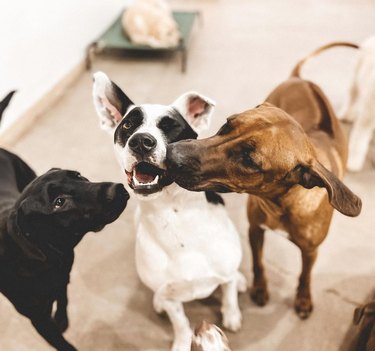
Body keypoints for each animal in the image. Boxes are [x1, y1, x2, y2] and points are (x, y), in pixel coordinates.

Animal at [93, 71, 247, 351]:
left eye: (171, 126)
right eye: (127, 126)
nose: (141, 142)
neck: (175, 217)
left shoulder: (225, 275)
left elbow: (228, 294)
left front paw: (231, 316)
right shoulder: (171, 298)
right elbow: (181, 322)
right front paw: (184, 340)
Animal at [166, 50, 362, 322]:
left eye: (249, 160)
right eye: (226, 125)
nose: (171, 154)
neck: (282, 204)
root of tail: (299, 78)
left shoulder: (310, 250)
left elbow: (305, 275)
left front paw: (303, 299)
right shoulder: (255, 229)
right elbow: (258, 263)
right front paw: (259, 289)